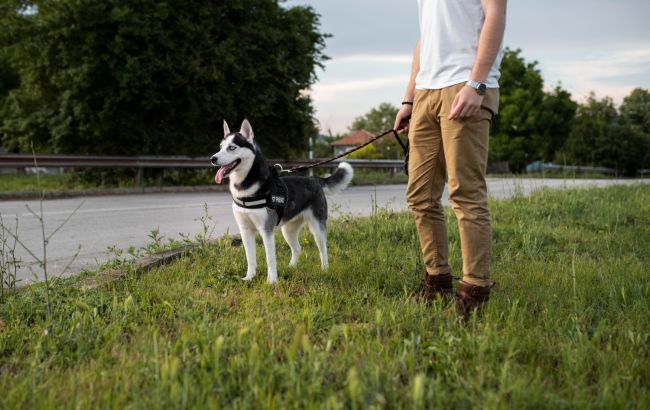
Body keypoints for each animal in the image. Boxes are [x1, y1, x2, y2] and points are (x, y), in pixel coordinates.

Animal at [210, 120, 352, 284]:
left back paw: (325, 270)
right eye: (220, 147)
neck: (246, 188)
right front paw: (249, 277)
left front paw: (272, 281)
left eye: (232, 147)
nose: (212, 159)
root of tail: (314, 179)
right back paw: (291, 267)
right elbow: (250, 259)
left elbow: (270, 259)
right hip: (288, 230)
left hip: (317, 227)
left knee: (323, 249)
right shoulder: (245, 230)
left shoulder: (266, 230)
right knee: (297, 248)